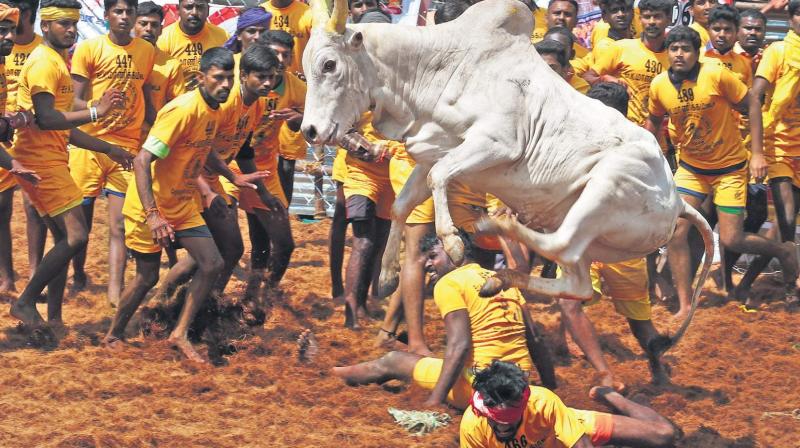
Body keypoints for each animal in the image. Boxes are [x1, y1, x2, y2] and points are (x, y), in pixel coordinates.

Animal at [300, 0, 712, 350]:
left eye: (329, 65)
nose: (310, 131)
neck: (436, 71)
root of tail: (677, 203)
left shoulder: (497, 143)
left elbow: (441, 179)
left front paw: (452, 242)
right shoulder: (431, 154)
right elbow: (403, 205)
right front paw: (387, 276)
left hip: (607, 186)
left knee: (559, 246)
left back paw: (495, 228)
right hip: (591, 236)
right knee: (577, 283)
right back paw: (499, 278)